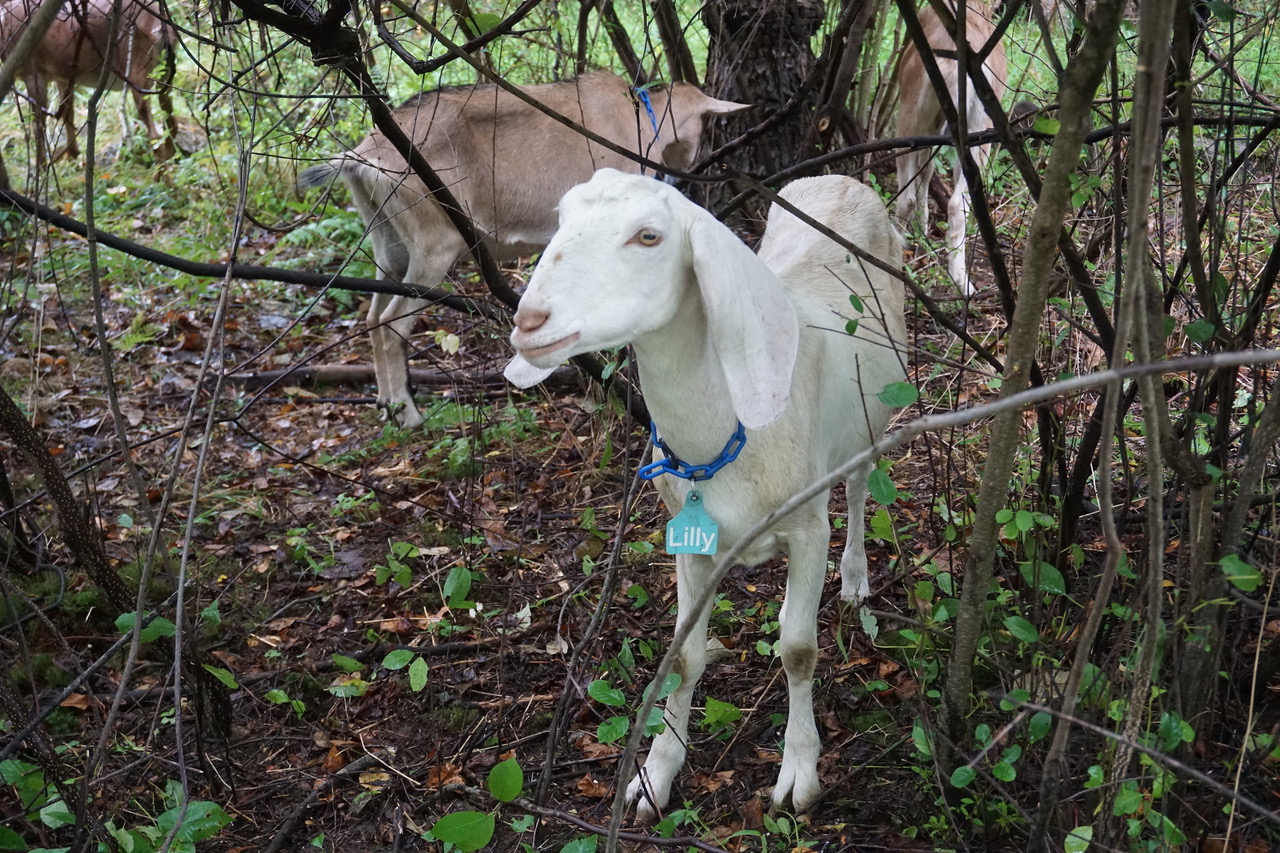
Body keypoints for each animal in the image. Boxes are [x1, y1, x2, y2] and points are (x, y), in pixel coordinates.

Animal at [0, 0, 171, 162]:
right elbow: (67, 112)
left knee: (155, 134)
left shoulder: (33, 72)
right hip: (164, 71)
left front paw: (42, 166)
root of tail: (160, 29)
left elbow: (39, 123)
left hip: (138, 70)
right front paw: (73, 155)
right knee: (168, 117)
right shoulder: (62, 76)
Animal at [299, 71, 748, 429]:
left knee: (373, 317)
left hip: (388, 242)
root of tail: (361, 156)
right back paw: (408, 414)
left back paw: (385, 405)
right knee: (393, 322)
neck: (637, 116)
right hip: (432, 245)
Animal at [505, 169, 906, 820]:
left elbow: (798, 648)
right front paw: (655, 776)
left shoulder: (806, 528)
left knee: (855, 486)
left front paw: (798, 775)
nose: (530, 320)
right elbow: (685, 655)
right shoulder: (687, 540)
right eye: (560, 217)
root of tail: (839, 178)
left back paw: (853, 579)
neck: (724, 435)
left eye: (649, 236)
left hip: (870, 420)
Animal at [896, 0, 1007, 294]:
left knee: (906, 195)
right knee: (959, 203)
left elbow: (924, 173)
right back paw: (962, 280)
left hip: (910, 112)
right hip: (980, 127)